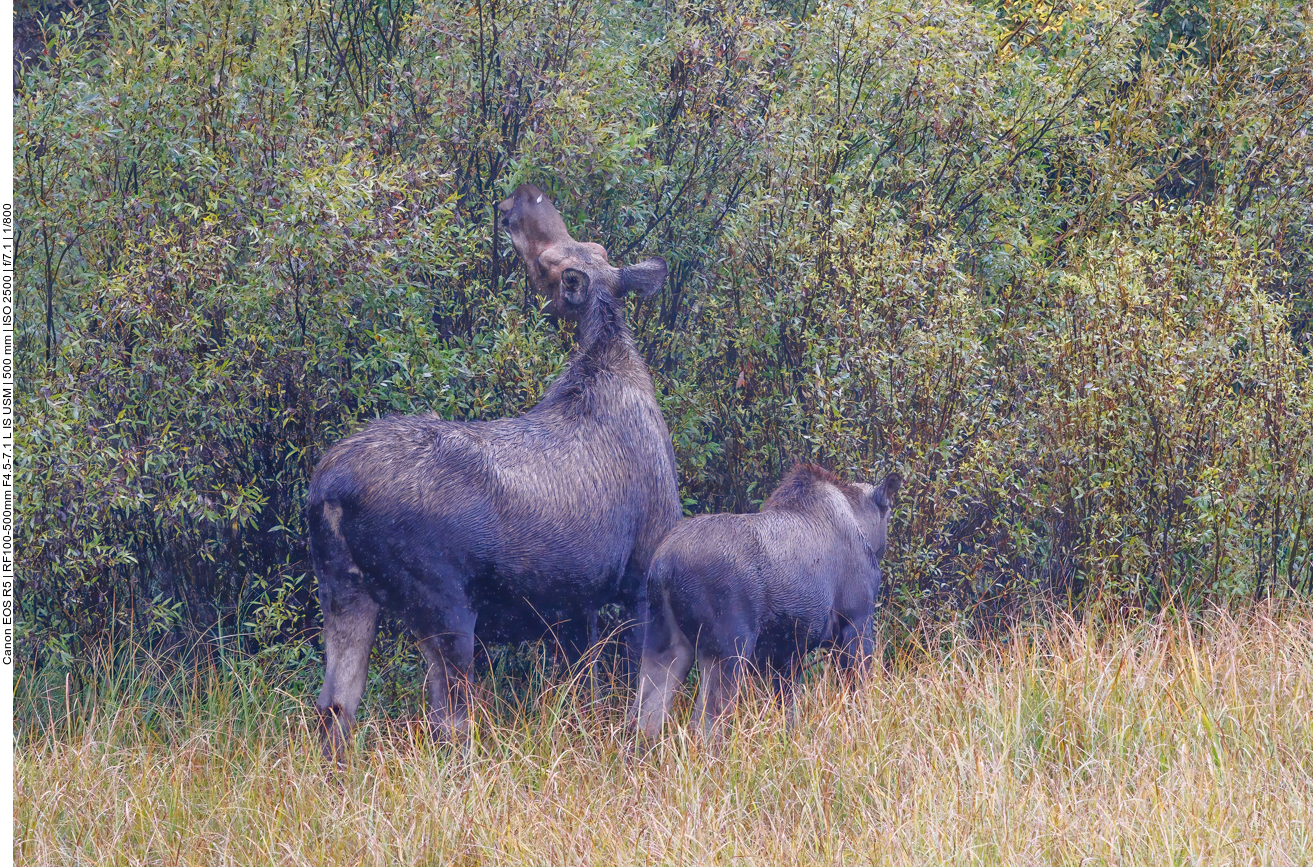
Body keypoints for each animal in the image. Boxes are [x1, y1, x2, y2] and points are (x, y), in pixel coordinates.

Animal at [307, 185, 677, 756]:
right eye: (549, 264)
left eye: (567, 254)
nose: (518, 202)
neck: (610, 360)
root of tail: (328, 494)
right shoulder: (640, 572)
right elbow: (640, 694)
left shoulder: (576, 603)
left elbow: (586, 686)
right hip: (443, 602)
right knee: (450, 718)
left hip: (342, 590)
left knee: (336, 705)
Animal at [630, 465, 898, 740]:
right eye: (889, 513)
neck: (862, 524)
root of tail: (664, 567)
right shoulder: (856, 623)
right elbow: (858, 693)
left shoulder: (788, 653)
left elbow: (787, 712)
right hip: (728, 648)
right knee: (706, 722)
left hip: (662, 640)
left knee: (644, 717)